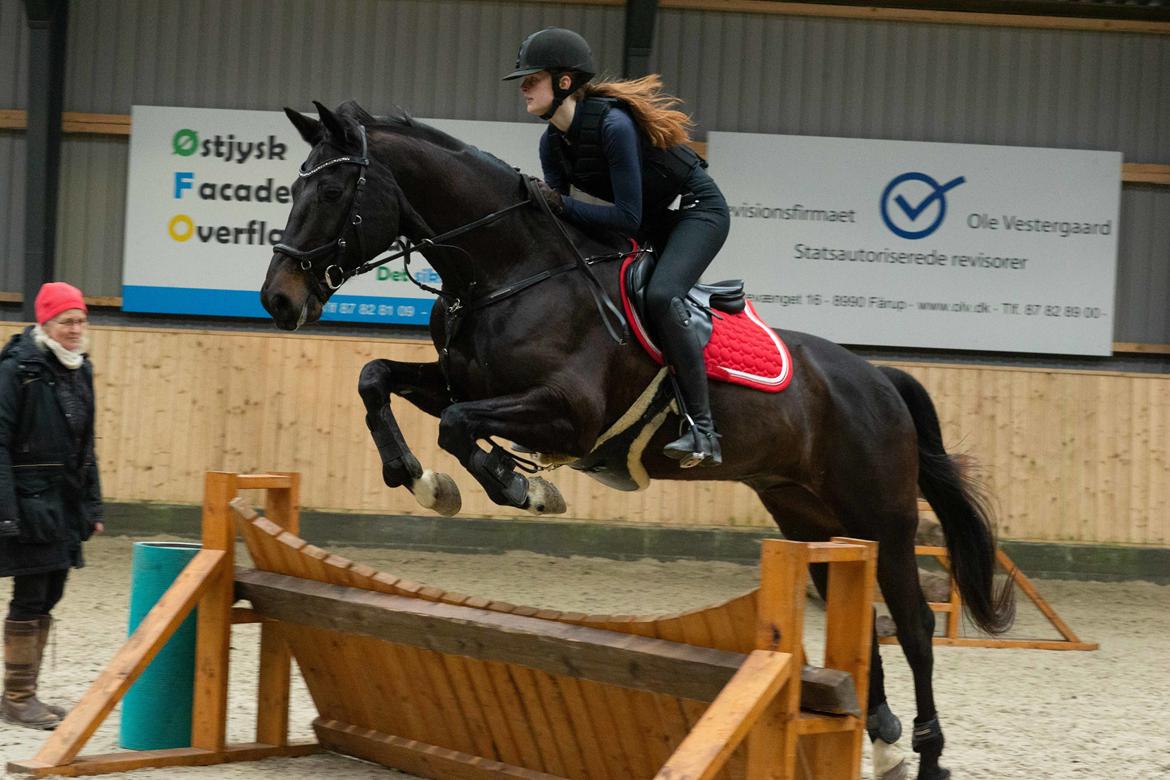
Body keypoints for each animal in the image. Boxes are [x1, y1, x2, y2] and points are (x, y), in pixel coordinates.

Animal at [260, 102, 1010, 780]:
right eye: (292, 189)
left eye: (331, 192)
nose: (279, 300)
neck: (507, 271)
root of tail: (879, 377)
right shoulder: (455, 381)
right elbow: (377, 380)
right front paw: (423, 482)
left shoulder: (570, 413)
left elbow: (460, 426)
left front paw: (523, 486)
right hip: (808, 517)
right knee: (855, 608)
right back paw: (882, 741)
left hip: (881, 516)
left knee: (913, 626)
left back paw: (928, 756)